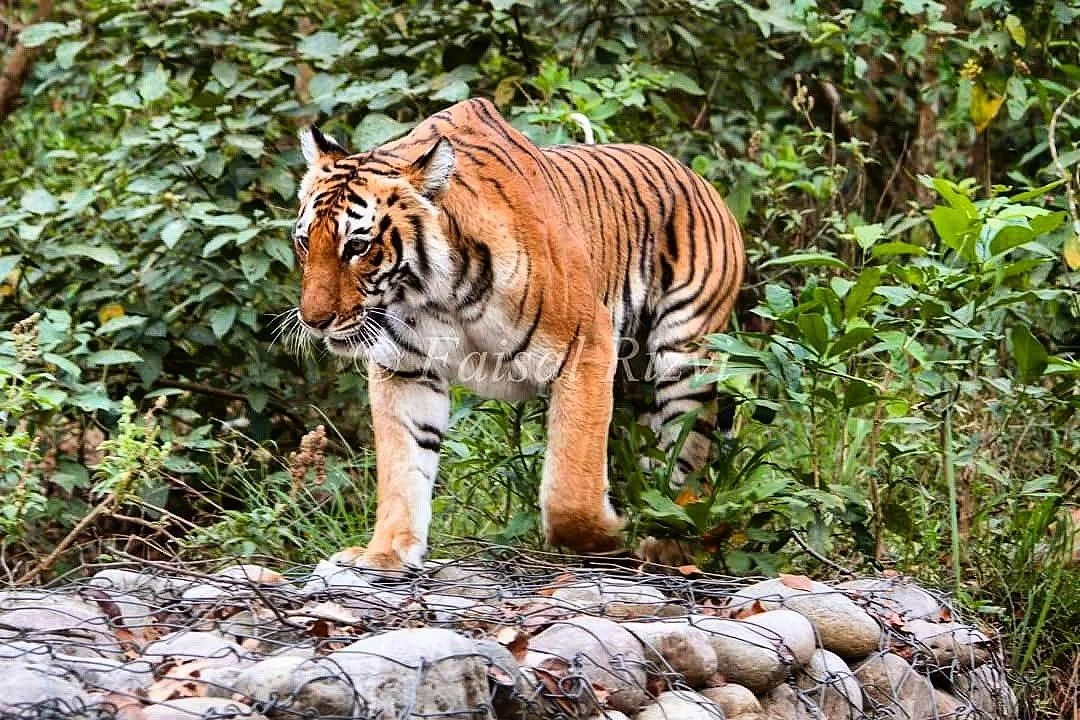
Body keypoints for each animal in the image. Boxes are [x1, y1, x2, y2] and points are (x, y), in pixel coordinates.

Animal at [291, 97, 744, 570]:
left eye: (357, 247)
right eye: (304, 242)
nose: (314, 319)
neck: (435, 295)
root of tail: (699, 178)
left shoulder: (585, 346)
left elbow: (570, 487)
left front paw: (612, 533)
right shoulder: (406, 369)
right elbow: (404, 465)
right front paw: (386, 552)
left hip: (686, 359)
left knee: (690, 456)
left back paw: (671, 541)